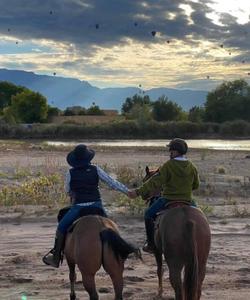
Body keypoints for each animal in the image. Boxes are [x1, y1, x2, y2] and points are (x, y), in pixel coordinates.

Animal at [143, 166, 211, 300]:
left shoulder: (157, 251)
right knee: (196, 286)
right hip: (200, 261)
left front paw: (159, 292)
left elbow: (159, 270)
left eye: (145, 179)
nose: (144, 195)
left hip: (175, 263)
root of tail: (188, 221)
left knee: (178, 287)